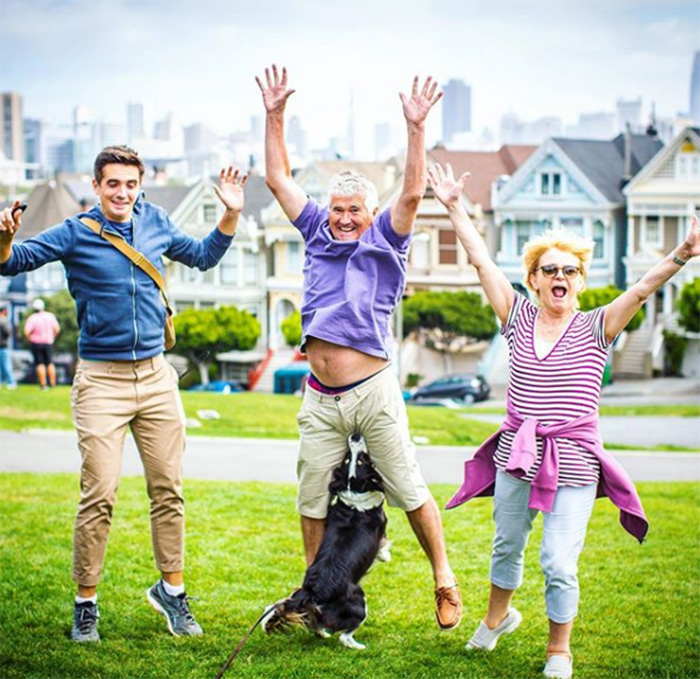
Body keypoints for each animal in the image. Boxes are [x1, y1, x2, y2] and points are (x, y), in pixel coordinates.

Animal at [262, 432, 392, 652]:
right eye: (357, 459)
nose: (355, 436)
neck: (353, 492)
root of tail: (312, 593)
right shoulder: (381, 525)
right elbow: (383, 545)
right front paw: (386, 556)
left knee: (314, 622)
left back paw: (322, 633)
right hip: (359, 603)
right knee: (345, 635)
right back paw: (357, 646)